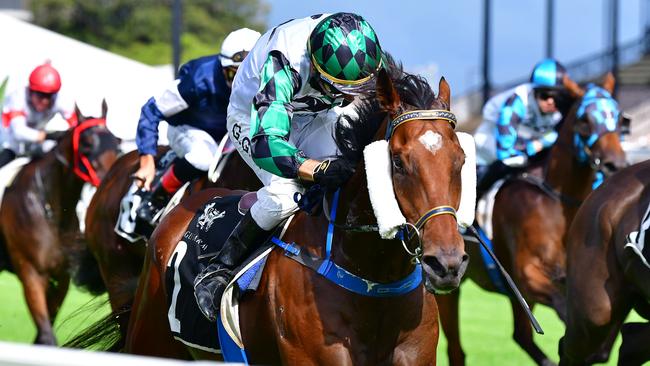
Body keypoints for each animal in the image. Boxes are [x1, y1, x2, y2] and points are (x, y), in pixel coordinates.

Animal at [0, 101, 120, 344]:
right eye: (86, 145)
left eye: (116, 143)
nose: (110, 181)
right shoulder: (31, 273)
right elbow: (46, 335)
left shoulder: (61, 277)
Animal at [438, 74, 624, 366]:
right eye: (584, 120)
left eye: (617, 116)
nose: (615, 164)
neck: (557, 201)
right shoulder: (529, 274)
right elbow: (567, 313)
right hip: (450, 286)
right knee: (456, 350)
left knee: (521, 336)